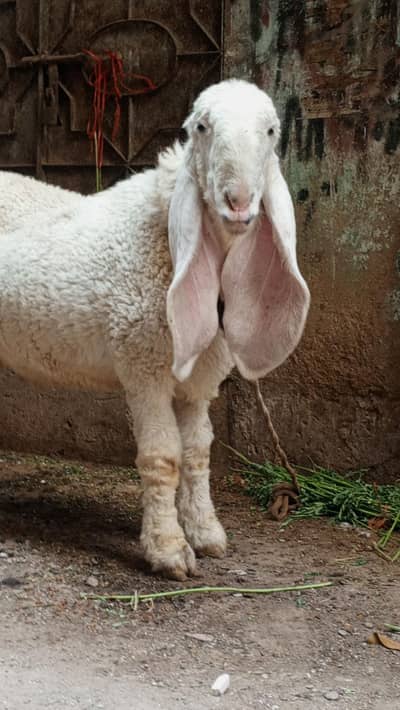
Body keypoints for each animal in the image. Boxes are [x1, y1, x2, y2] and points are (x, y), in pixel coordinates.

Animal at [0, 79, 310, 580]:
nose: (239, 203)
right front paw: (167, 548)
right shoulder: (142, 362)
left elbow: (198, 451)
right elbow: (163, 457)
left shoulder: (199, 377)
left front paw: (205, 531)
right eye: (201, 127)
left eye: (270, 131)